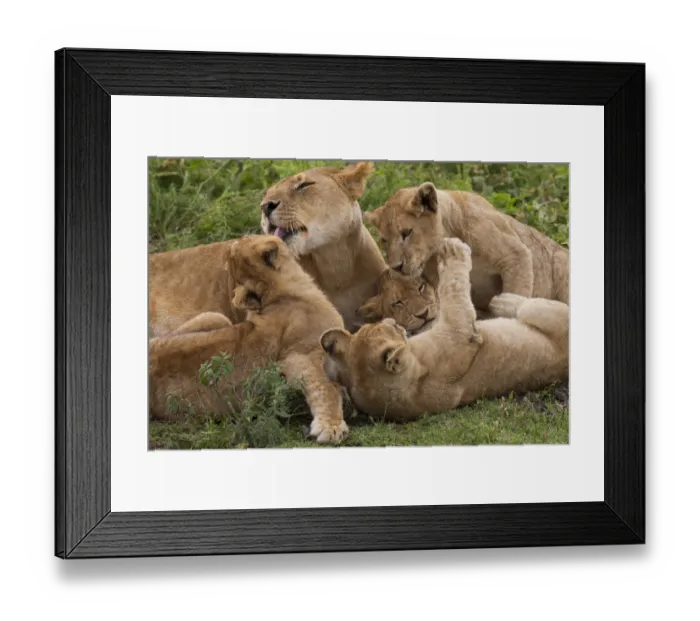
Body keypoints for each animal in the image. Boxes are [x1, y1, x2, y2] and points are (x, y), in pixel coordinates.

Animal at [149, 235, 349, 444]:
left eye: (244, 239)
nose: (235, 241)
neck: (278, 295)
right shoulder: (301, 356)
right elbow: (325, 388)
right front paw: (332, 428)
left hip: (214, 317)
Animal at [321, 238, 569, 422]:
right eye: (391, 327)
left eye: (381, 325)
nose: (395, 323)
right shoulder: (460, 333)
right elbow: (453, 288)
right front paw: (452, 250)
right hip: (546, 313)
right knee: (530, 306)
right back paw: (503, 302)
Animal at [363, 183, 569, 312]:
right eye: (384, 241)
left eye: (406, 233)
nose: (396, 267)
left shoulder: (516, 255)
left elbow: (515, 294)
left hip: (560, 261)